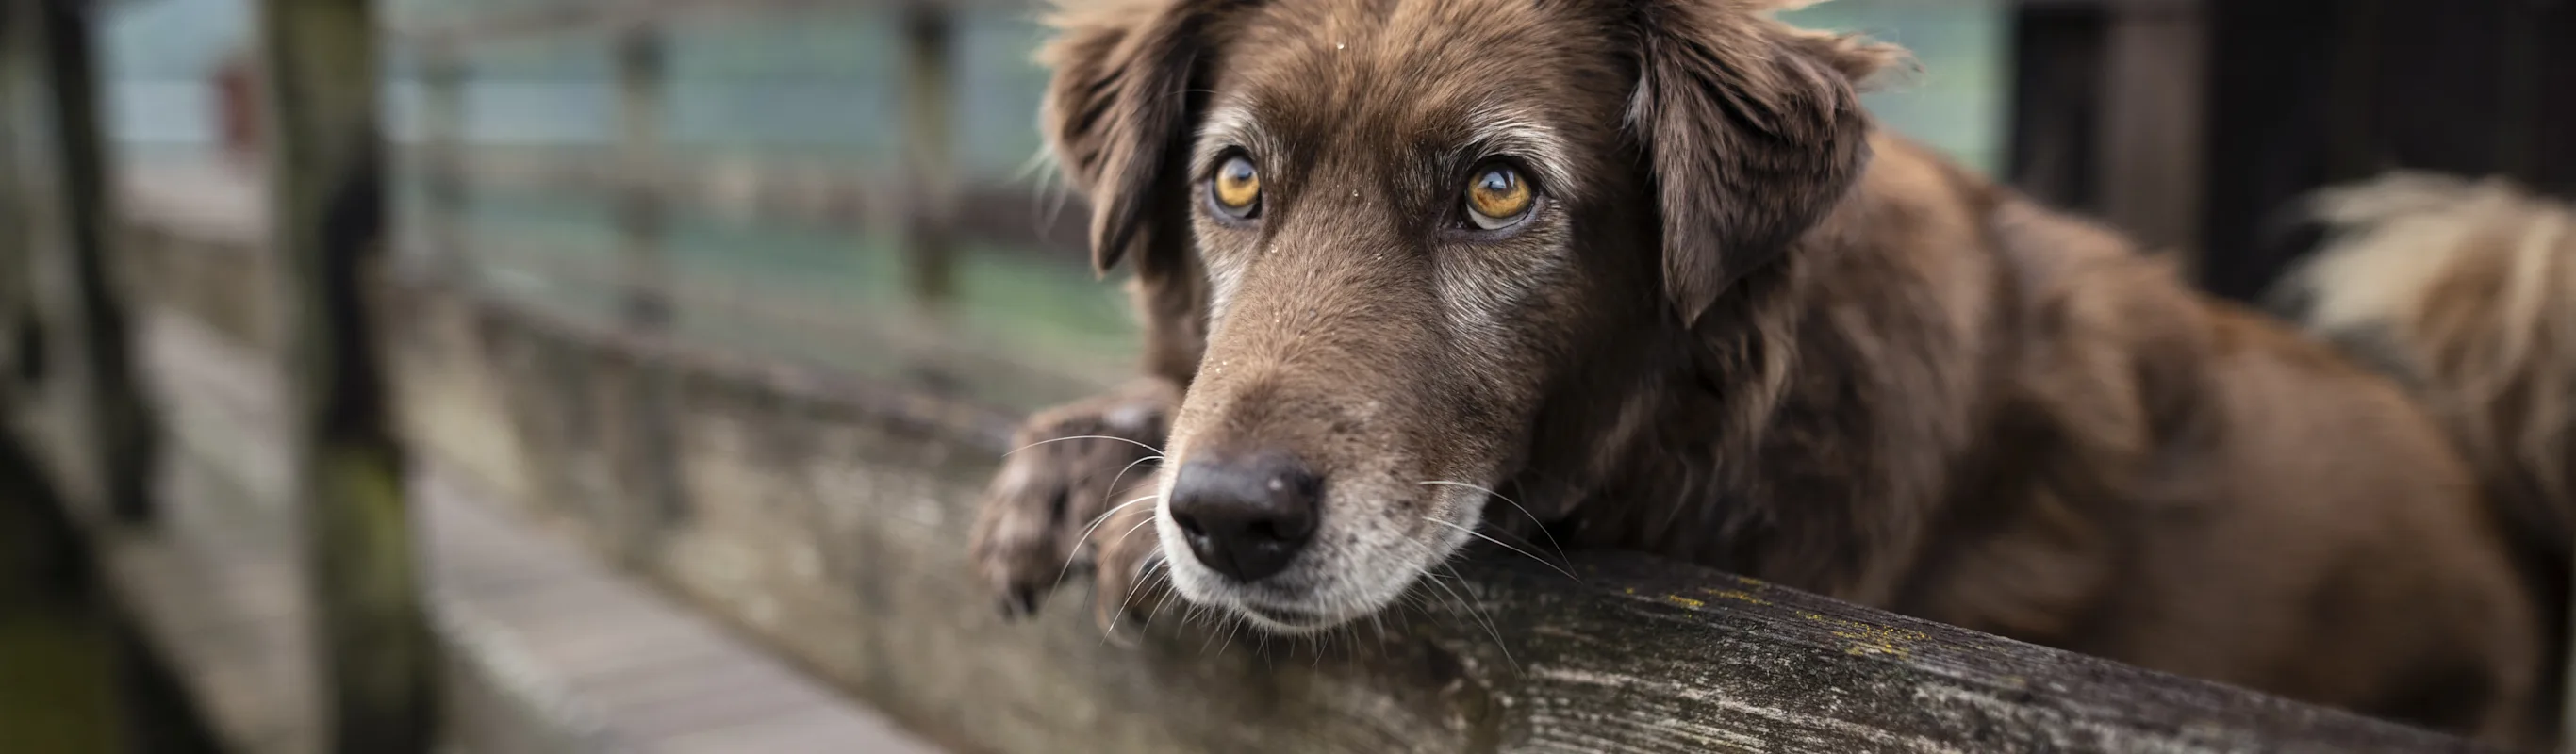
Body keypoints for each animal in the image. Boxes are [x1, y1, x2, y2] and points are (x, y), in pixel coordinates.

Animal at [968, 0, 2576, 741]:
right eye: (1236, 182)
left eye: (1498, 190)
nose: (1225, 519)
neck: (1727, 414)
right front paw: (1090, 459)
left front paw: (1125, 506)